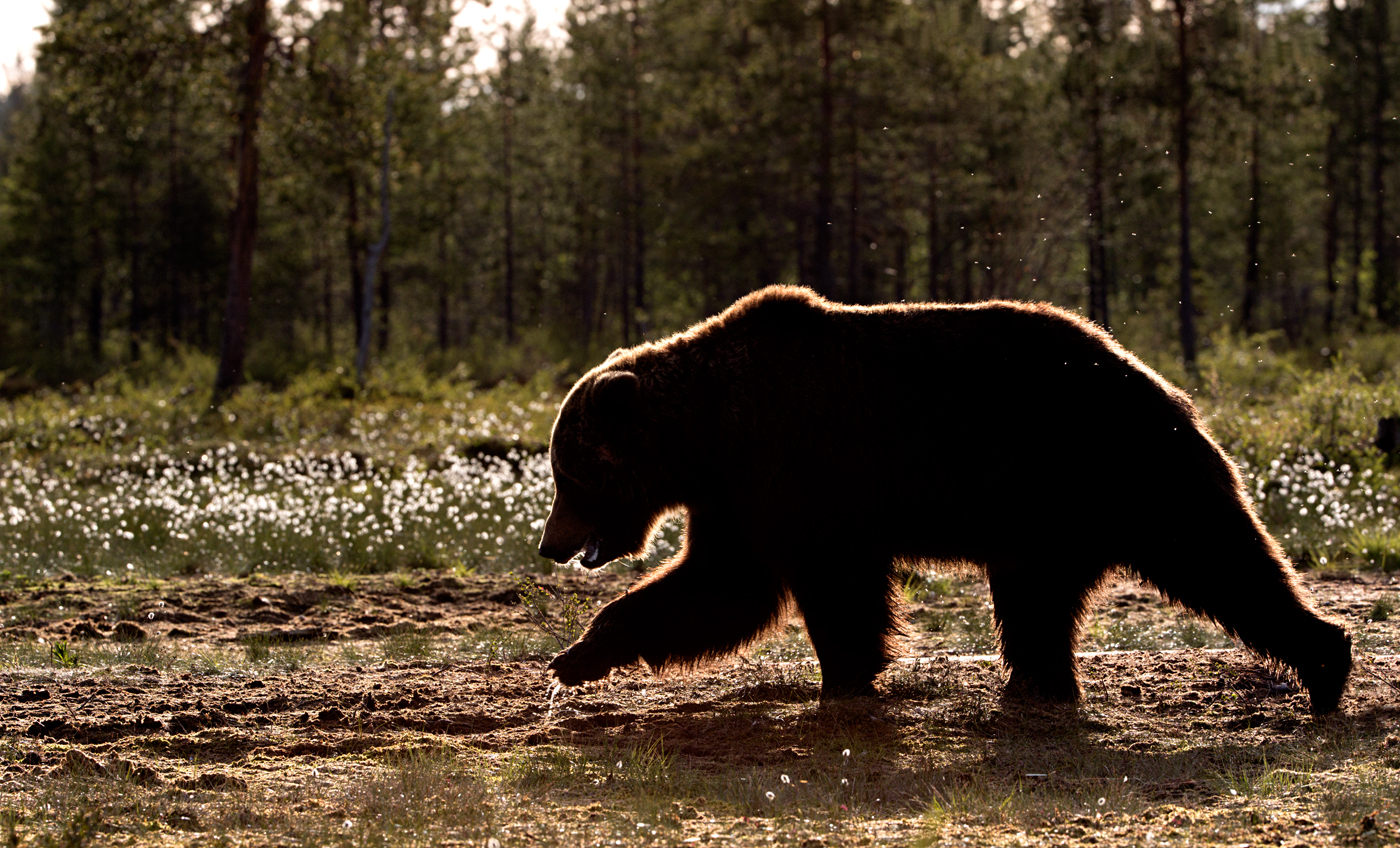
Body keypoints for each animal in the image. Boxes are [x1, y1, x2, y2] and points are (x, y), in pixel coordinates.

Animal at [537, 285, 1352, 715]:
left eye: (567, 474)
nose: (550, 542)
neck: (708, 433)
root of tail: (1163, 386)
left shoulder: (795, 469)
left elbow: (810, 590)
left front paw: (845, 679)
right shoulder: (737, 496)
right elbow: (720, 586)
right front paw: (577, 654)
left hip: (1110, 468)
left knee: (1218, 556)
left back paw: (1325, 663)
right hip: (1045, 518)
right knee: (1038, 602)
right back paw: (1037, 686)